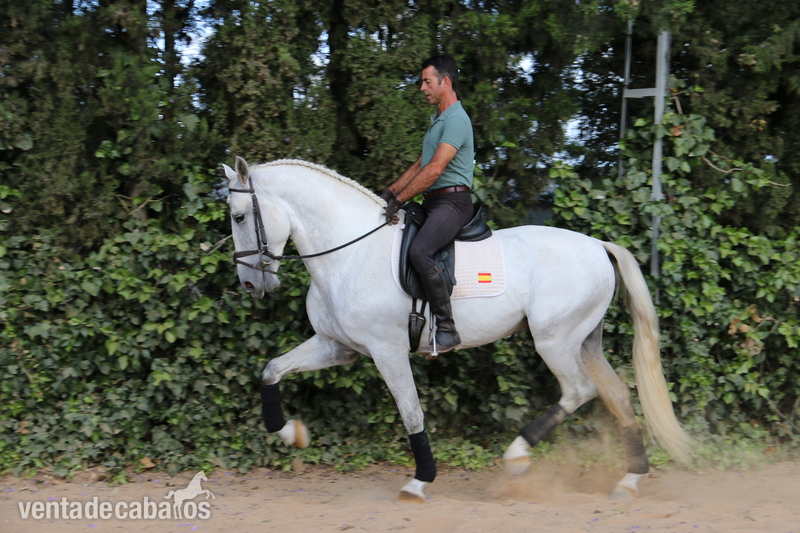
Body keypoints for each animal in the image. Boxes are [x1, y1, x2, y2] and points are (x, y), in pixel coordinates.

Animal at [222, 156, 693, 503]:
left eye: (240, 217)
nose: (250, 285)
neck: (348, 254)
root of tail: (598, 245)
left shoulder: (386, 350)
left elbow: (411, 412)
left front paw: (420, 481)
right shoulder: (337, 346)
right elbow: (272, 369)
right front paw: (290, 432)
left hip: (555, 340)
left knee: (579, 390)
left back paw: (518, 456)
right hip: (585, 341)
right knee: (616, 393)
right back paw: (629, 480)